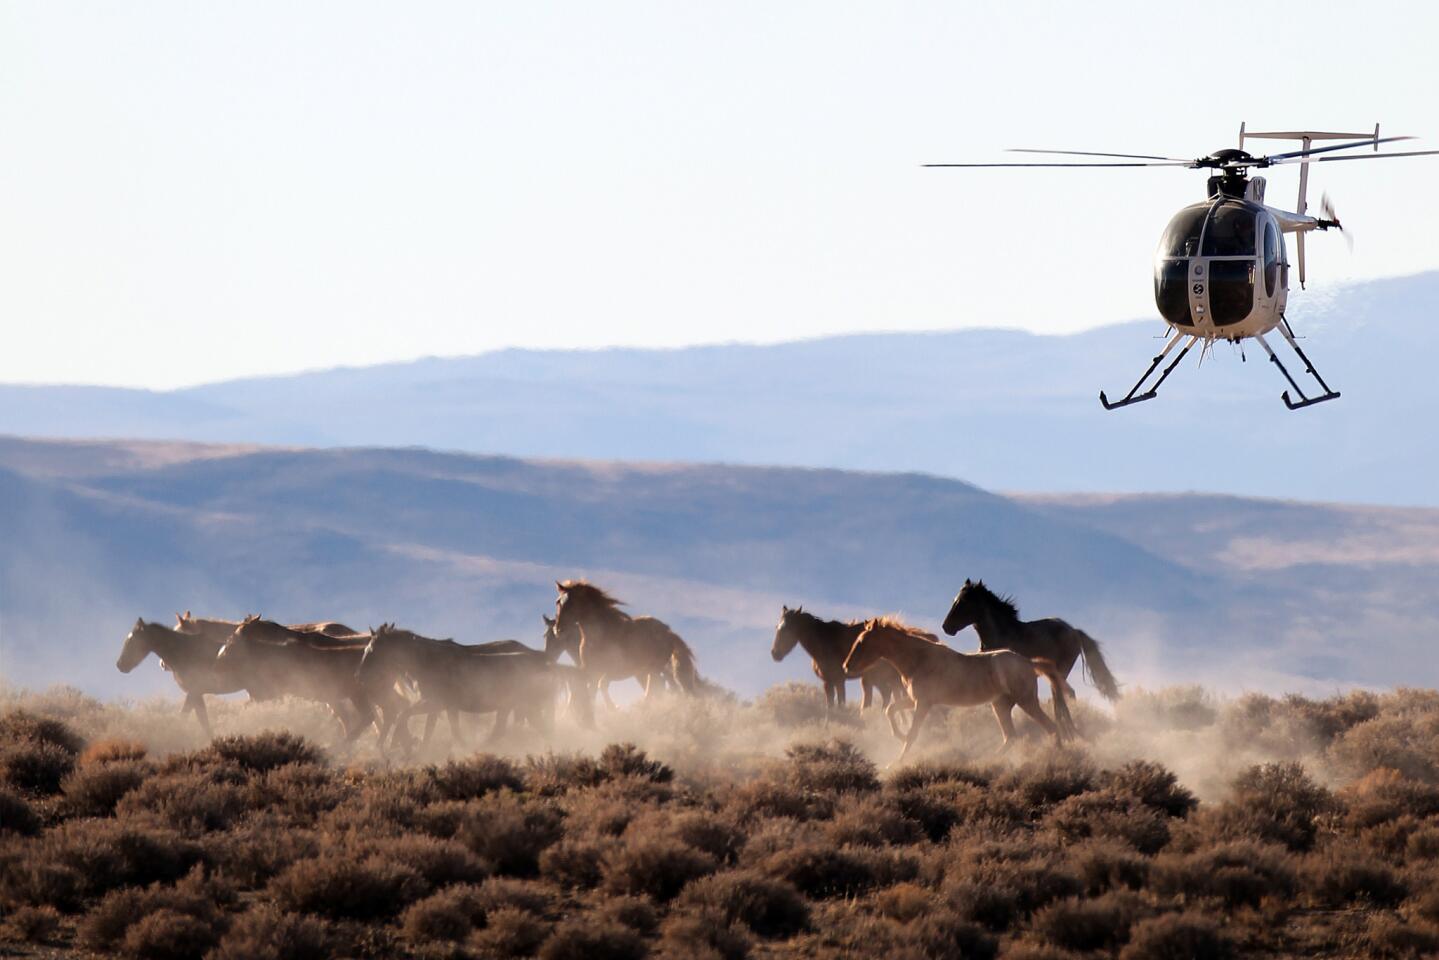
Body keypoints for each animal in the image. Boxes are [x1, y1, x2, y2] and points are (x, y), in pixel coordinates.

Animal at [552, 578, 699, 705]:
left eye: (573, 603)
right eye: (558, 602)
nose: (558, 630)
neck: (599, 636)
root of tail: (668, 631)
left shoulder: (613, 670)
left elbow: (602, 684)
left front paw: (614, 708)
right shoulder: (591, 671)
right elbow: (587, 694)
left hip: (654, 667)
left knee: (657, 685)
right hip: (650, 669)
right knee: (664, 686)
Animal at [771, 607, 903, 719]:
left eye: (789, 629)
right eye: (777, 627)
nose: (775, 654)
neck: (825, 642)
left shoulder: (839, 680)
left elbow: (841, 705)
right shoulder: (827, 682)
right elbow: (830, 707)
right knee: (886, 694)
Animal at [840, 618, 1076, 771]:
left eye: (861, 642)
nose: (846, 666)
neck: (918, 659)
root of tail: (1028, 663)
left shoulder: (923, 703)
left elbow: (913, 734)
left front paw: (896, 760)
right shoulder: (916, 700)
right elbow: (891, 710)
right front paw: (899, 736)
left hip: (1026, 701)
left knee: (1051, 728)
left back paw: (1058, 760)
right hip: (1000, 706)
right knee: (1011, 736)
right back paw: (985, 763)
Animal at [943, 581, 1122, 702]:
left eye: (964, 602)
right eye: (954, 600)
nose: (946, 627)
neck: (1000, 634)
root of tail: (1074, 631)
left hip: (1062, 669)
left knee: (1067, 693)